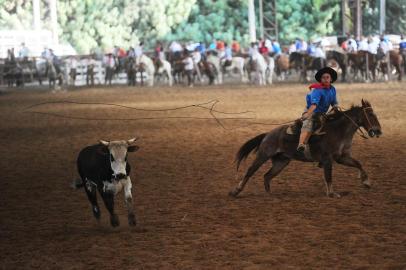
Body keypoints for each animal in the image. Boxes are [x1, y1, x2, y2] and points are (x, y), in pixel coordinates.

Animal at [230, 100, 382, 197]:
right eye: (370, 115)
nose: (378, 131)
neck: (339, 130)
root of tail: (268, 134)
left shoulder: (342, 157)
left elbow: (358, 163)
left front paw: (366, 182)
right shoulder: (327, 159)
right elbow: (328, 176)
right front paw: (332, 193)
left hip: (281, 161)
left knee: (267, 176)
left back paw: (269, 194)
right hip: (263, 155)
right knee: (250, 171)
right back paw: (236, 191)